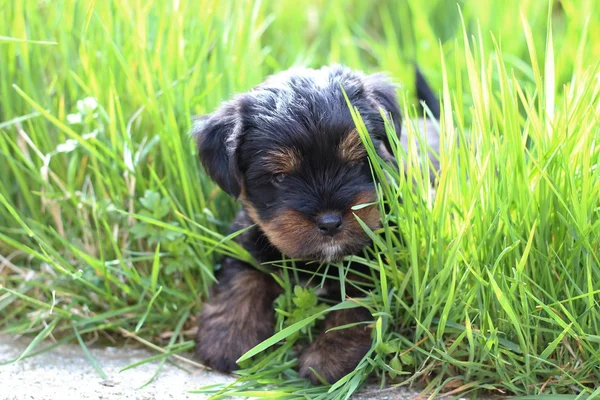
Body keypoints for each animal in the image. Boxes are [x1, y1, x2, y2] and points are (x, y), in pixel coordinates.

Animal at [193, 64, 440, 382]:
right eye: (280, 177)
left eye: (356, 162)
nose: (330, 222)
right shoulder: (248, 238)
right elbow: (241, 277)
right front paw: (227, 335)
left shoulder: (379, 263)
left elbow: (356, 303)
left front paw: (327, 356)